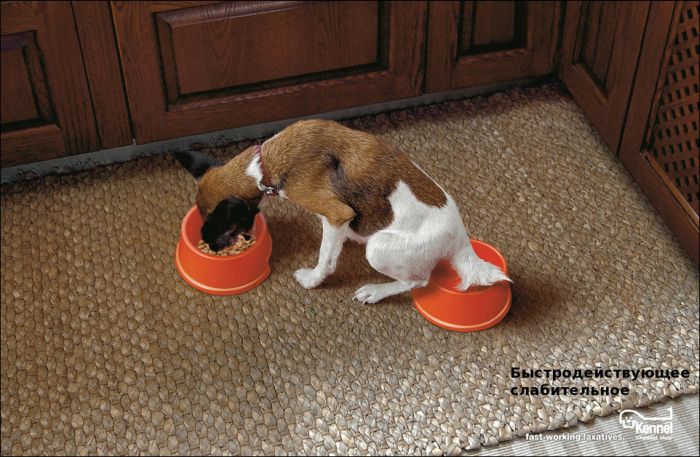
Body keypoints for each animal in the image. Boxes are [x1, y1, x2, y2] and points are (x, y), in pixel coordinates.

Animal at [175, 119, 509, 303]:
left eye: (223, 226)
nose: (212, 247)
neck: (264, 164)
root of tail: (460, 240)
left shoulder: (335, 213)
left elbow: (325, 258)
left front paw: (313, 279)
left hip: (380, 248)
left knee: (418, 281)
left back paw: (375, 291)